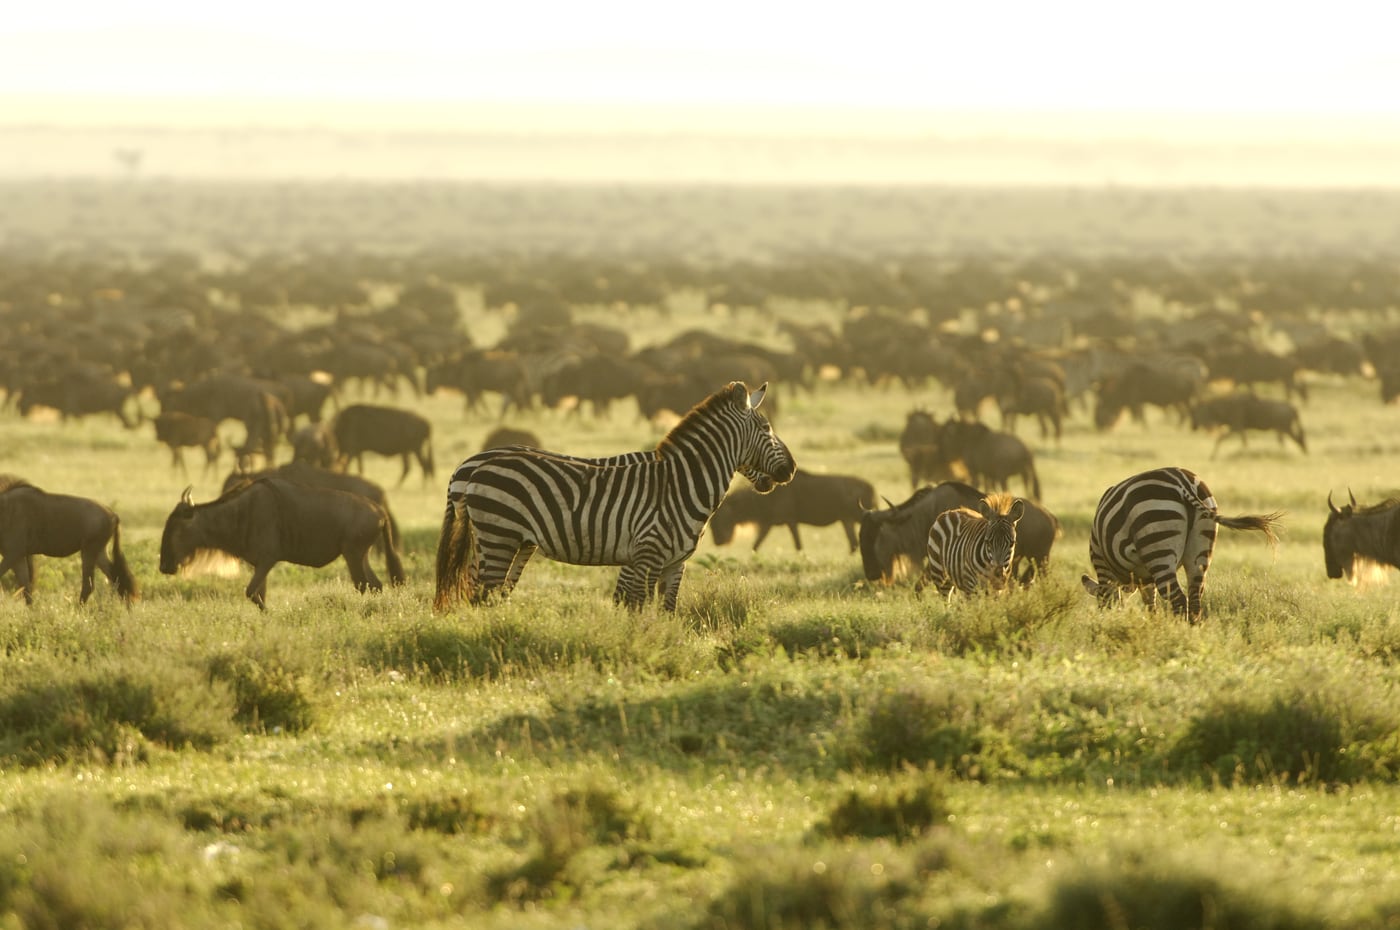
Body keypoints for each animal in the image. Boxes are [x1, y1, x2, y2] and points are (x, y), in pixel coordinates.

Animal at [434, 381, 795, 611]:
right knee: (483, 594)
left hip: (510, 541)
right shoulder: (646, 554)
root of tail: (472, 466)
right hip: (499, 535)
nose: (791, 469)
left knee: (488, 592)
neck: (680, 483)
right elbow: (636, 608)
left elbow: (664, 610)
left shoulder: (672, 563)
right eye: (767, 429)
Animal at [1080, 466, 1282, 622]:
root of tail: (1184, 482)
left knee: (1178, 600)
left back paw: (1176, 635)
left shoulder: (1102, 564)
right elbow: (1151, 605)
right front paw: (1152, 625)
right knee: (1194, 600)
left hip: (1157, 541)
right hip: (1201, 548)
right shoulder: (1146, 579)